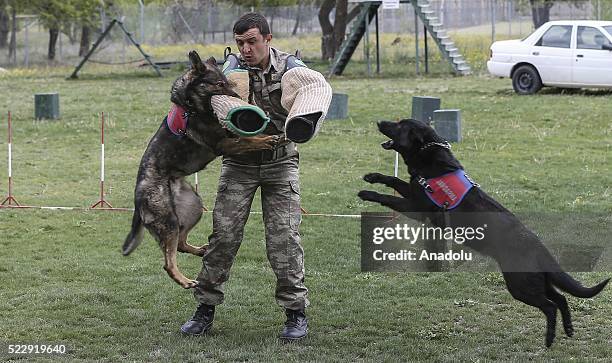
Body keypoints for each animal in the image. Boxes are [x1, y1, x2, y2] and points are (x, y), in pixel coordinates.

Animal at [122, 51, 280, 290]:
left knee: (180, 244)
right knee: (168, 261)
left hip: (193, 207)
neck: (191, 106)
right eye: (219, 84)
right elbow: (248, 140)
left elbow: (246, 136)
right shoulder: (223, 144)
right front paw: (265, 139)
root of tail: (137, 197)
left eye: (228, 83)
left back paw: (200, 251)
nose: (240, 100)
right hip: (168, 220)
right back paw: (184, 280)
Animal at [356, 119, 608, 346]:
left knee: (550, 306)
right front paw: (373, 177)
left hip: (520, 284)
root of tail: (537, 245)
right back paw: (568, 328)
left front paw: (367, 193)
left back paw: (550, 337)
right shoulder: (413, 191)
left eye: (399, 125)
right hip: (538, 280)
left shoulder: (418, 207)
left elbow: (388, 197)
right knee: (562, 298)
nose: (379, 120)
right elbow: (394, 179)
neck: (429, 156)